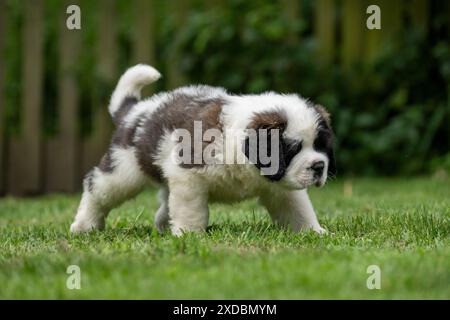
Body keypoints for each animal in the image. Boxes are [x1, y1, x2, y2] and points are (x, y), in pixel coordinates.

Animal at [70, 64, 336, 235]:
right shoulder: (188, 174)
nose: (319, 166)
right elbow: (191, 210)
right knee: (97, 187)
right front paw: (190, 235)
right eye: (292, 149)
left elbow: (297, 208)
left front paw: (313, 232)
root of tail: (135, 112)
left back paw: (164, 225)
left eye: (320, 146)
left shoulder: (279, 186)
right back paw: (85, 225)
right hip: (124, 170)